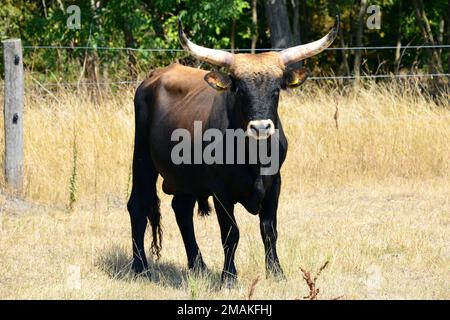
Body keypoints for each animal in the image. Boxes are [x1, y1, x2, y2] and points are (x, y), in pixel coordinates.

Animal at [126, 16, 338, 284]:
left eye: (276, 89)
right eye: (240, 90)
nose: (260, 126)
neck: (253, 157)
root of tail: (155, 74)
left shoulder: (275, 183)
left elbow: (269, 229)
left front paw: (276, 272)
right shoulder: (221, 190)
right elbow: (230, 233)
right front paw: (228, 276)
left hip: (186, 177)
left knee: (181, 209)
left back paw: (198, 265)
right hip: (142, 158)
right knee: (138, 205)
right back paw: (140, 267)